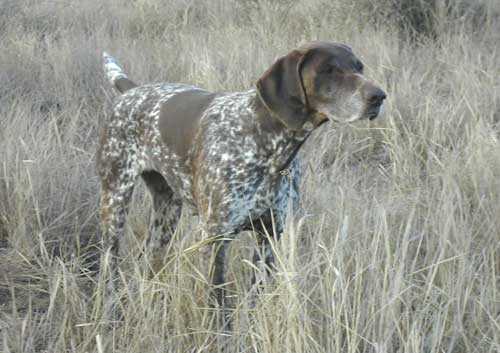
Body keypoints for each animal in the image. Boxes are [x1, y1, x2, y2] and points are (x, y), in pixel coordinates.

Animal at [96, 42, 386, 316]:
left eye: (359, 67)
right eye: (328, 70)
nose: (379, 97)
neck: (267, 142)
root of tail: (133, 90)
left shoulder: (269, 237)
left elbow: (254, 299)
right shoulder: (215, 240)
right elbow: (218, 305)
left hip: (167, 212)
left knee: (149, 257)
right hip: (115, 201)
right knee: (109, 261)